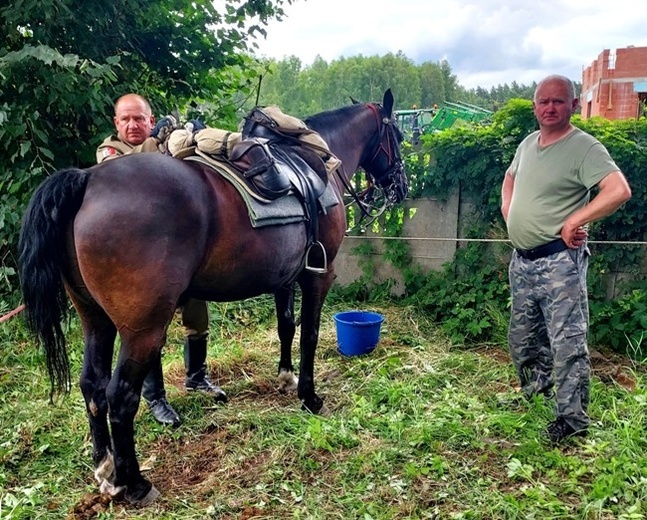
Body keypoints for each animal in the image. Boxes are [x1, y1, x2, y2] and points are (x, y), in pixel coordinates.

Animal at [19, 89, 404, 504]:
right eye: (397, 135)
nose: (401, 185)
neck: (313, 164)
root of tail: (87, 180)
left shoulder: (285, 278)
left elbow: (286, 327)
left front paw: (285, 377)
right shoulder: (319, 275)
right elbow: (310, 336)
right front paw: (309, 396)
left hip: (96, 319)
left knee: (92, 386)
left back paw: (105, 467)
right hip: (142, 328)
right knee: (120, 396)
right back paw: (135, 483)